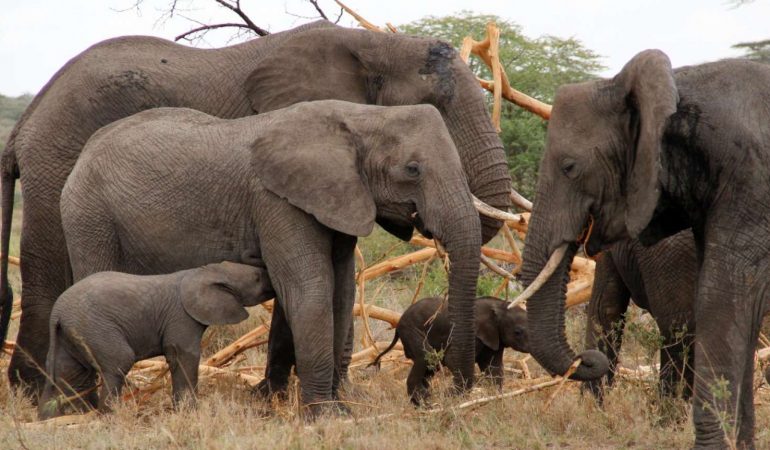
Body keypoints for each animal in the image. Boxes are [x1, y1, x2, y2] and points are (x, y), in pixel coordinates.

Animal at [38, 261, 274, 419]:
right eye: (256, 277)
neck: (204, 271)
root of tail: (57, 312)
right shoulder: (181, 317)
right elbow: (184, 355)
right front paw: (189, 412)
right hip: (95, 327)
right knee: (119, 362)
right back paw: (109, 416)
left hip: (70, 334)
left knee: (67, 373)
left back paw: (54, 418)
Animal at [58, 100, 483, 415]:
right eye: (412, 169)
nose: (456, 392)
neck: (362, 117)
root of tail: (82, 155)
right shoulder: (277, 201)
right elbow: (310, 287)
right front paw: (323, 415)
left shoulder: (337, 202)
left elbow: (340, 292)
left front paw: (292, 402)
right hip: (89, 217)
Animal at [371, 296, 529, 405]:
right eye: (518, 332)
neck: (499, 306)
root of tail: (398, 323)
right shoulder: (470, 334)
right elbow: (452, 359)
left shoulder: (494, 338)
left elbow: (494, 368)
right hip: (411, 330)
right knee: (427, 357)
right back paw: (424, 402)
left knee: (431, 365)